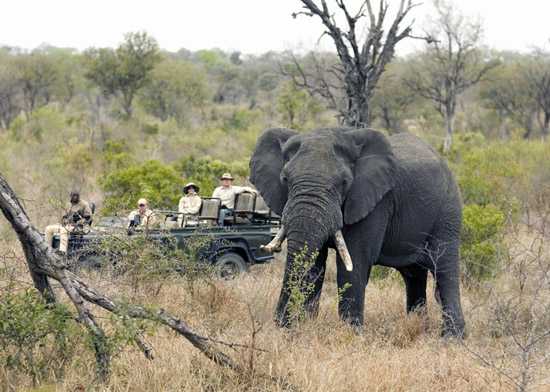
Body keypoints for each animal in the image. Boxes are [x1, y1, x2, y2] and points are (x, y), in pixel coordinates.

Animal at [252, 128, 468, 336]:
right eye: (285, 179)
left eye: (344, 182)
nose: (280, 324)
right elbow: (315, 264)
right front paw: (303, 328)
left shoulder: (375, 202)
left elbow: (354, 263)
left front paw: (350, 335)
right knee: (414, 275)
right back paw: (419, 328)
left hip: (448, 212)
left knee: (445, 271)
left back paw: (452, 338)